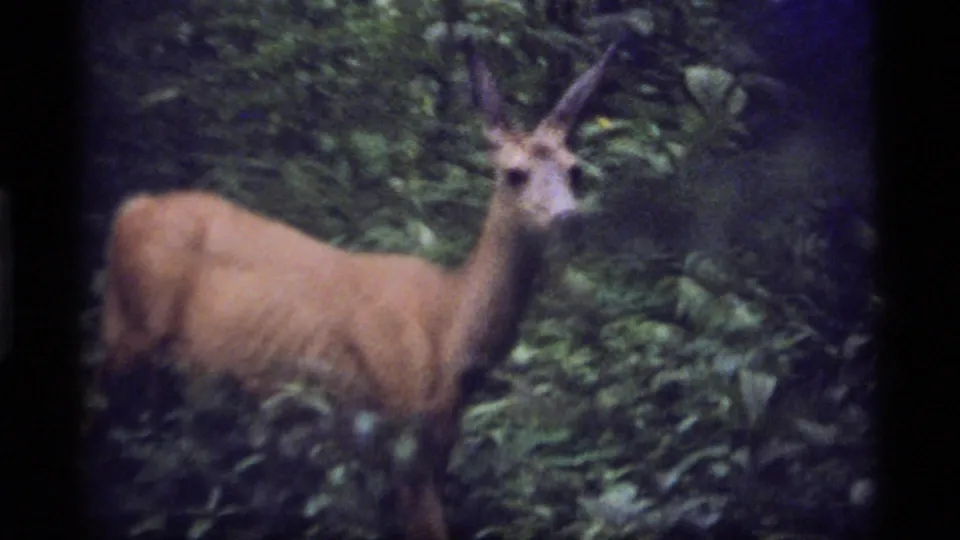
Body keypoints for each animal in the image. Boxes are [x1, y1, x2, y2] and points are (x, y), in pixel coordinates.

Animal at [98, 42, 617, 540]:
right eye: (514, 173)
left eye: (575, 169)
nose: (569, 217)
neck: (449, 329)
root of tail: (130, 208)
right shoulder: (400, 440)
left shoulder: (434, 445)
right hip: (126, 339)